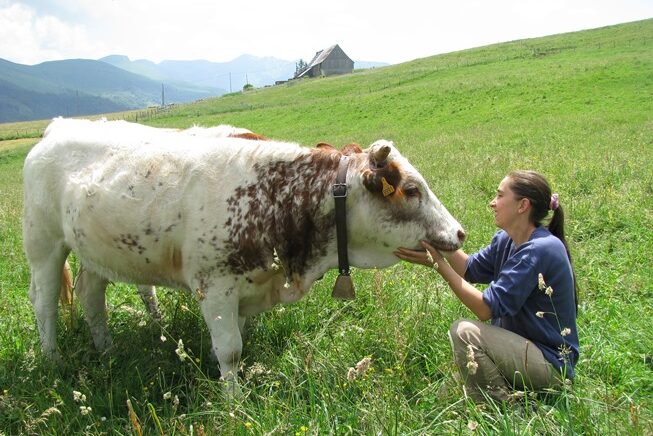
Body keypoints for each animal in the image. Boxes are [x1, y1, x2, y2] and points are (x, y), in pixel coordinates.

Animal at [24, 116, 464, 392]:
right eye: (411, 190)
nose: (459, 232)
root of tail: (57, 127)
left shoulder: (248, 287)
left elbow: (239, 341)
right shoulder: (215, 287)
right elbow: (231, 350)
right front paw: (233, 402)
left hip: (97, 250)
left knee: (91, 295)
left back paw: (107, 350)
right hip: (43, 243)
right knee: (44, 302)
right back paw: (53, 360)